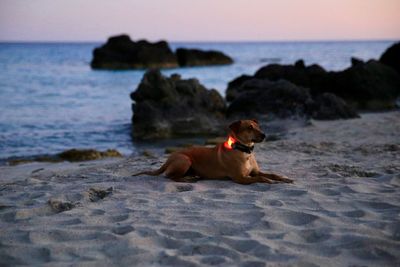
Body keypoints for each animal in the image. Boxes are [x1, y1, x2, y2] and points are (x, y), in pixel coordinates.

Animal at [133, 120, 292, 185]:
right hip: (185, 159)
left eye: (259, 127)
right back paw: (186, 179)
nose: (264, 135)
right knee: (170, 176)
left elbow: (272, 174)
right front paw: (269, 181)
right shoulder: (240, 178)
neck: (244, 151)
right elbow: (261, 178)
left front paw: (284, 179)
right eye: (250, 128)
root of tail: (168, 159)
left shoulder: (255, 172)